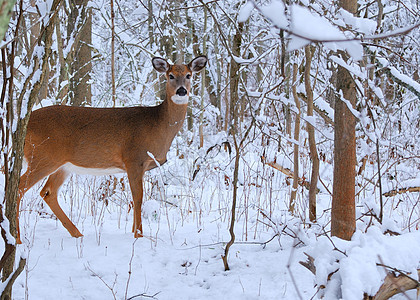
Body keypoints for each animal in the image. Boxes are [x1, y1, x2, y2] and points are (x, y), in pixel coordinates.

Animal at [17, 55, 208, 244]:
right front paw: (139, 235)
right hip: (43, 157)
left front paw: (134, 232)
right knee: (20, 187)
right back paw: (18, 239)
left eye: (189, 75)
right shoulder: (134, 159)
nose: (181, 91)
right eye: (170, 75)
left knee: (48, 192)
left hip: (62, 165)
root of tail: (24, 124)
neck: (158, 126)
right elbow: (138, 198)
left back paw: (77, 234)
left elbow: (135, 198)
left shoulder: (141, 165)